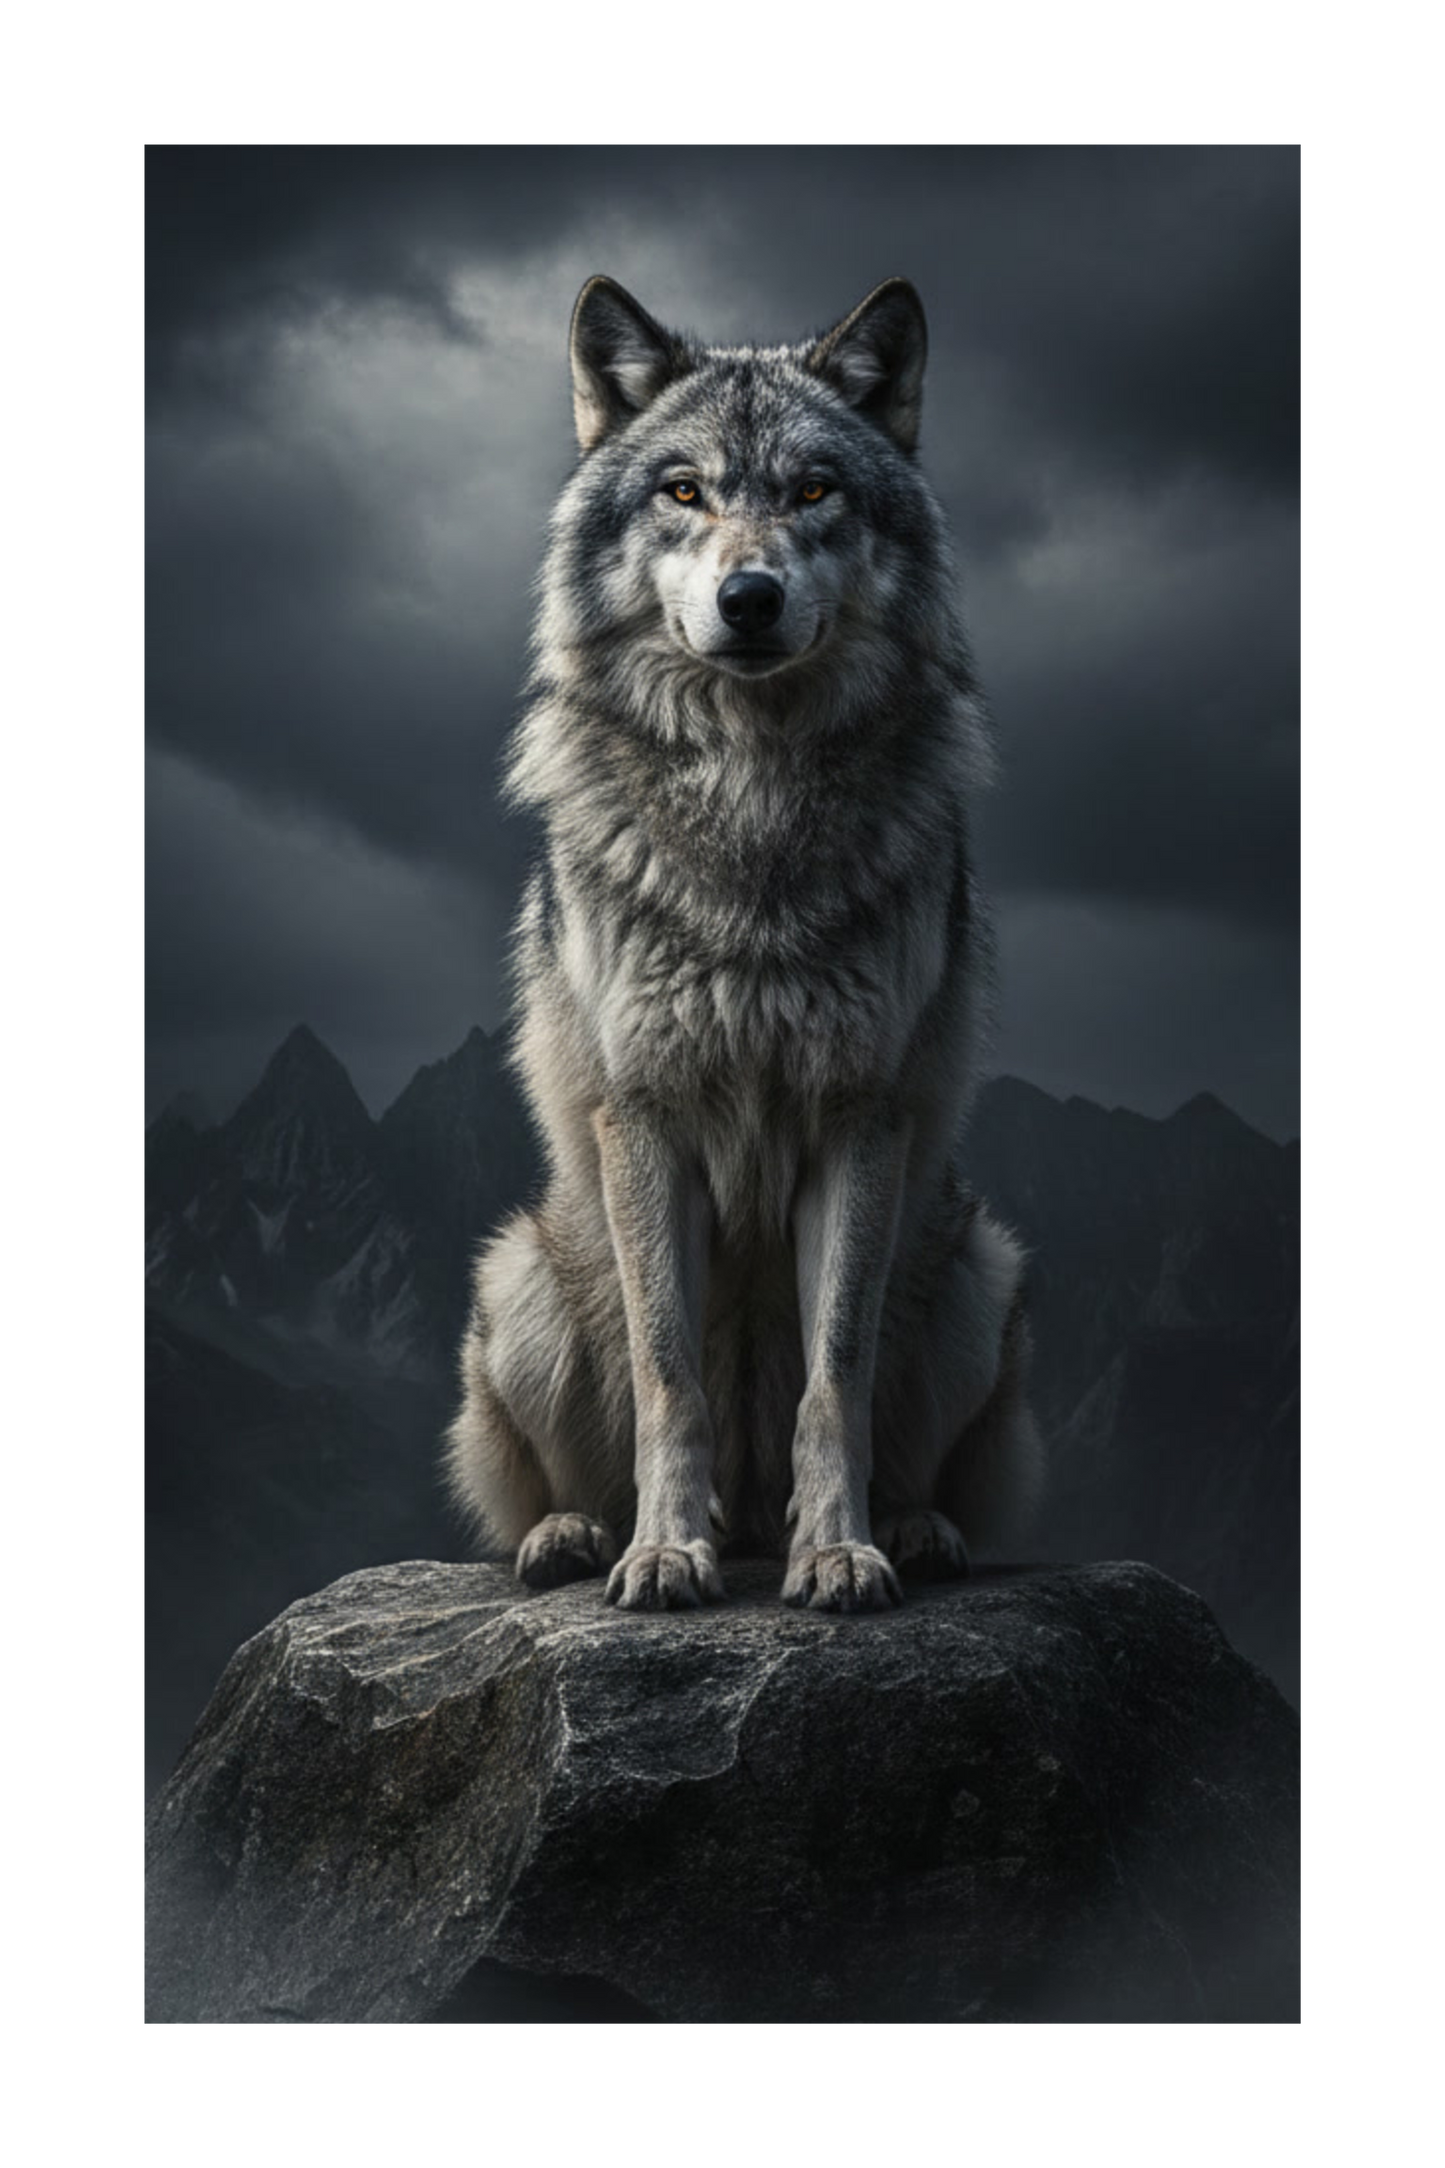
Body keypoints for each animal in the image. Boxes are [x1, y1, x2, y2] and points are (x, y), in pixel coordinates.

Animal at [445, 274, 1044, 1612]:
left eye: (814, 490)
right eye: (683, 491)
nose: (751, 597)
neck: (751, 801)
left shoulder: (857, 1113)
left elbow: (836, 1377)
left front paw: (839, 1551)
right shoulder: (644, 1111)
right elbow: (670, 1378)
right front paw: (666, 1550)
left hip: (975, 1271)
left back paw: (908, 1528)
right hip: (520, 1279)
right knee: (562, 1478)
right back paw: (578, 1535)